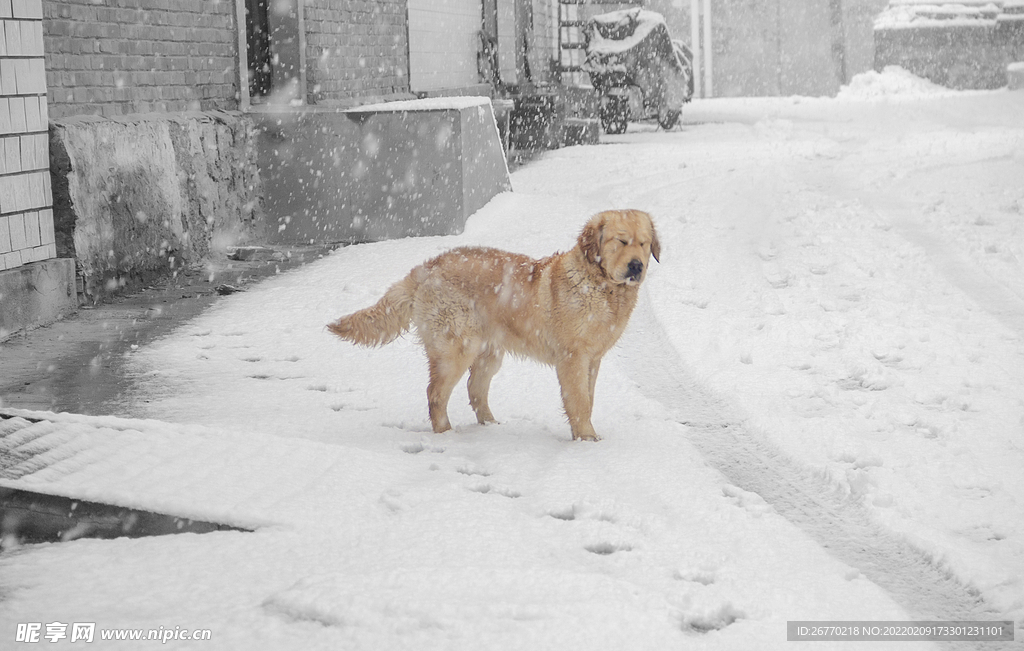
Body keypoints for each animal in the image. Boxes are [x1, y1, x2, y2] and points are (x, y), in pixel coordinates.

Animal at [331, 210, 659, 440]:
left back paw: (491, 426)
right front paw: (586, 440)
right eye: (621, 241)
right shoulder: (573, 358)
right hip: (456, 349)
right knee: (436, 394)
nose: (637, 266)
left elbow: (588, 400)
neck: (602, 286)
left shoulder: (593, 359)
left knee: (475, 389)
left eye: (644, 244)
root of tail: (426, 268)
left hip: (489, 352)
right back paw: (447, 435)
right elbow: (578, 401)